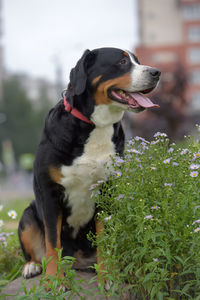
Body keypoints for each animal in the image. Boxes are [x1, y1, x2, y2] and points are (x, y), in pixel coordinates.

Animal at [17, 47, 161, 278]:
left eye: (137, 61)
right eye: (122, 62)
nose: (156, 72)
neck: (95, 126)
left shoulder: (108, 191)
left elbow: (105, 239)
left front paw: (107, 275)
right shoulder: (49, 194)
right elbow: (51, 242)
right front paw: (53, 280)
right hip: (28, 215)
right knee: (37, 249)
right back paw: (32, 266)